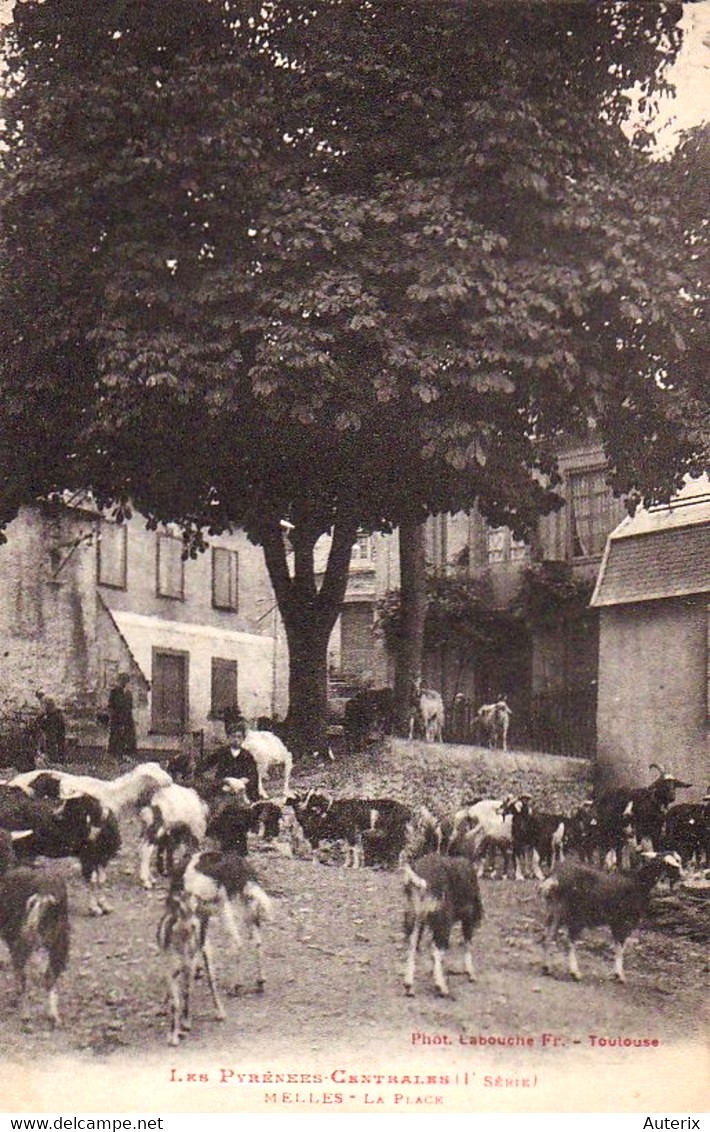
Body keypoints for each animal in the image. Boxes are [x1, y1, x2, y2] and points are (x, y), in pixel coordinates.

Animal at [0, 828, 70, 1032]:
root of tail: (43, 894)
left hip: (27, 940)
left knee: (26, 976)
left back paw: (26, 1017)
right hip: (58, 941)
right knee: (49, 975)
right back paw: (53, 1016)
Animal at [156, 887, 223, 1045]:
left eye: (196, 906)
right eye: (181, 909)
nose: (197, 925)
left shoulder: (188, 968)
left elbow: (186, 994)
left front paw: (185, 1024)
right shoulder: (170, 970)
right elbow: (175, 1002)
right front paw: (173, 1036)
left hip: (206, 956)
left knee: (212, 984)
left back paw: (220, 1012)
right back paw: (162, 1007)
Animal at [405, 851, 482, 996]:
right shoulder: (468, 916)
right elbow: (468, 943)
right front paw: (471, 974)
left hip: (414, 916)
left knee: (412, 945)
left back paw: (409, 986)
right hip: (442, 919)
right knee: (435, 948)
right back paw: (442, 987)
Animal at [541, 851, 683, 982]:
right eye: (673, 864)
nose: (682, 876)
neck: (638, 883)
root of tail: (556, 877)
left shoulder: (615, 923)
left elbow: (617, 946)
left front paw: (616, 973)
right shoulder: (624, 922)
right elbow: (620, 947)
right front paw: (619, 975)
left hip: (554, 911)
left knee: (548, 936)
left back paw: (547, 968)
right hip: (574, 914)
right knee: (569, 941)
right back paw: (574, 973)